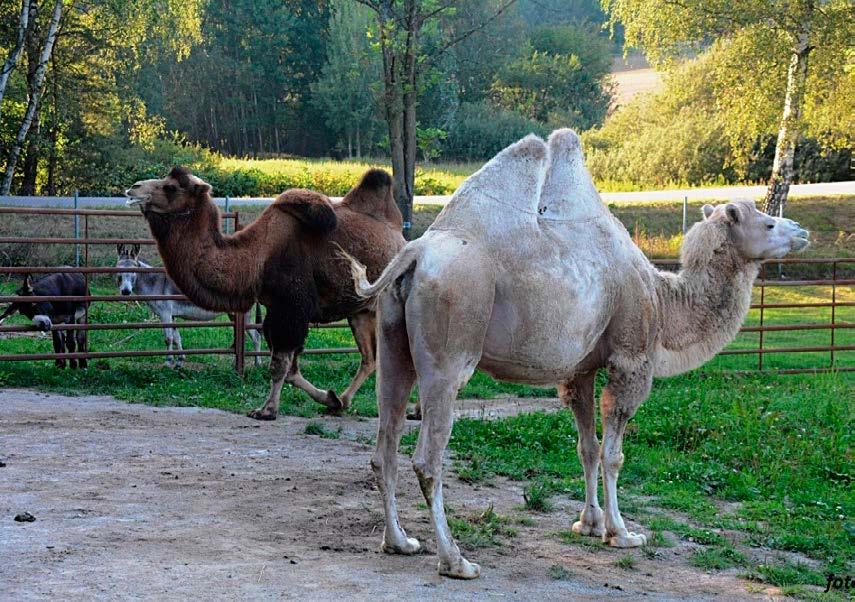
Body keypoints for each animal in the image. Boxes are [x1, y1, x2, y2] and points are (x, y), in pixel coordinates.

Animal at [127, 164, 404, 418]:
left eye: (170, 187)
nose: (133, 189)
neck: (258, 258)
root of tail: (401, 238)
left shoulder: (291, 307)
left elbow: (279, 365)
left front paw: (267, 410)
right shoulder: (275, 309)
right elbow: (291, 370)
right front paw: (331, 399)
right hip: (360, 310)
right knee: (370, 358)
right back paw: (345, 400)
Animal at [346, 130, 808, 576]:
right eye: (767, 223)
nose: (801, 231)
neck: (661, 298)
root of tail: (414, 253)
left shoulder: (579, 371)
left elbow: (587, 446)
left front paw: (589, 523)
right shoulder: (631, 359)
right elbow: (614, 454)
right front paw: (623, 533)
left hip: (394, 342)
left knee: (385, 444)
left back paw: (399, 542)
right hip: (452, 342)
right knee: (428, 457)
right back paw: (456, 561)